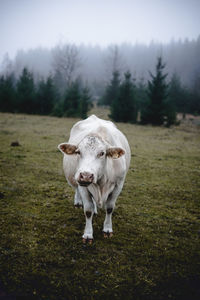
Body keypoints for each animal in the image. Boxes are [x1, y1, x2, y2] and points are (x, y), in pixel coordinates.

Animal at [57, 115, 130, 244]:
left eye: (102, 153)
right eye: (78, 152)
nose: (86, 175)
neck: (102, 180)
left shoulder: (118, 184)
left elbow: (110, 208)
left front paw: (107, 229)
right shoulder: (82, 185)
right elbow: (88, 210)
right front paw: (88, 234)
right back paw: (78, 202)